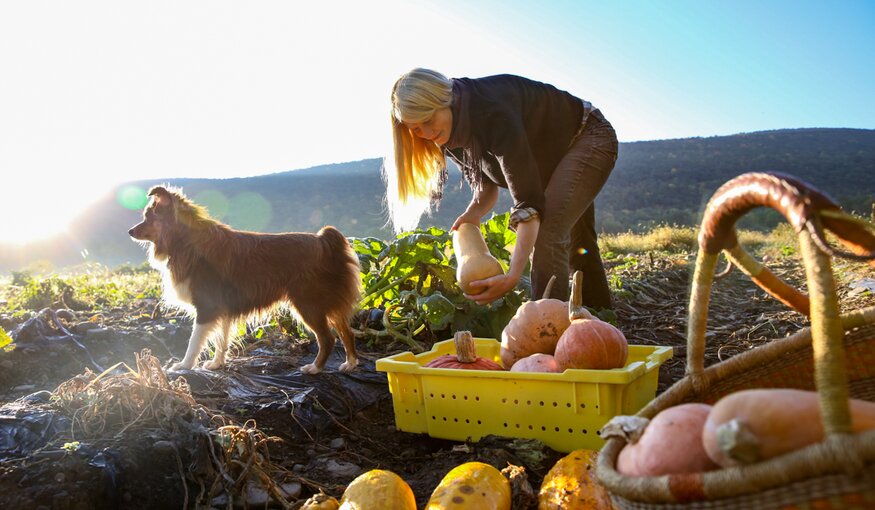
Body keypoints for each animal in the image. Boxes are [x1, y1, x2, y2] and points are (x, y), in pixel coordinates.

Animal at [126, 185, 360, 372]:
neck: (185, 241)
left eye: (148, 217)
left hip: (308, 303)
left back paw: (315, 368)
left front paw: (184, 365)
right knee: (347, 332)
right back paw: (350, 364)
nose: (129, 231)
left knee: (328, 338)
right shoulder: (223, 308)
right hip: (328, 303)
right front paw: (217, 364)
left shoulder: (207, 307)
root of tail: (324, 241)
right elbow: (221, 339)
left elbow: (195, 341)